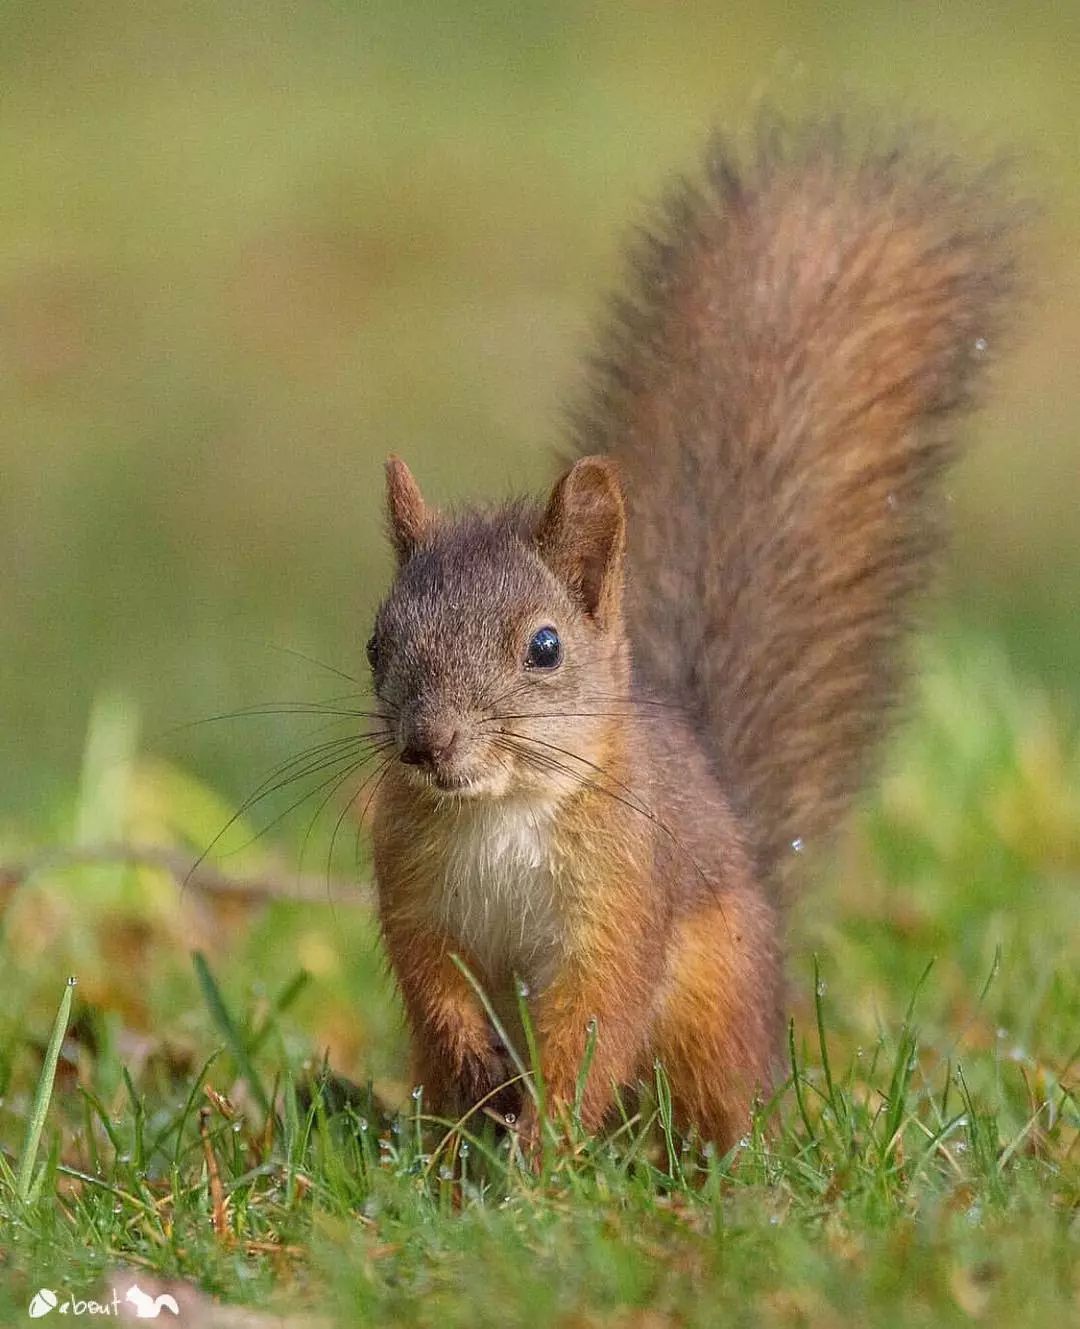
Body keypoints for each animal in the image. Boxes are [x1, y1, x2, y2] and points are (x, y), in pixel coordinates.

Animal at [361, 119, 1020, 1148]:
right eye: (376, 644)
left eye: (544, 646)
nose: (427, 745)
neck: (499, 812)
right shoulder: (409, 885)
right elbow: (428, 972)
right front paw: (478, 1060)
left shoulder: (626, 902)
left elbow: (591, 1021)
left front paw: (544, 1152)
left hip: (716, 1009)